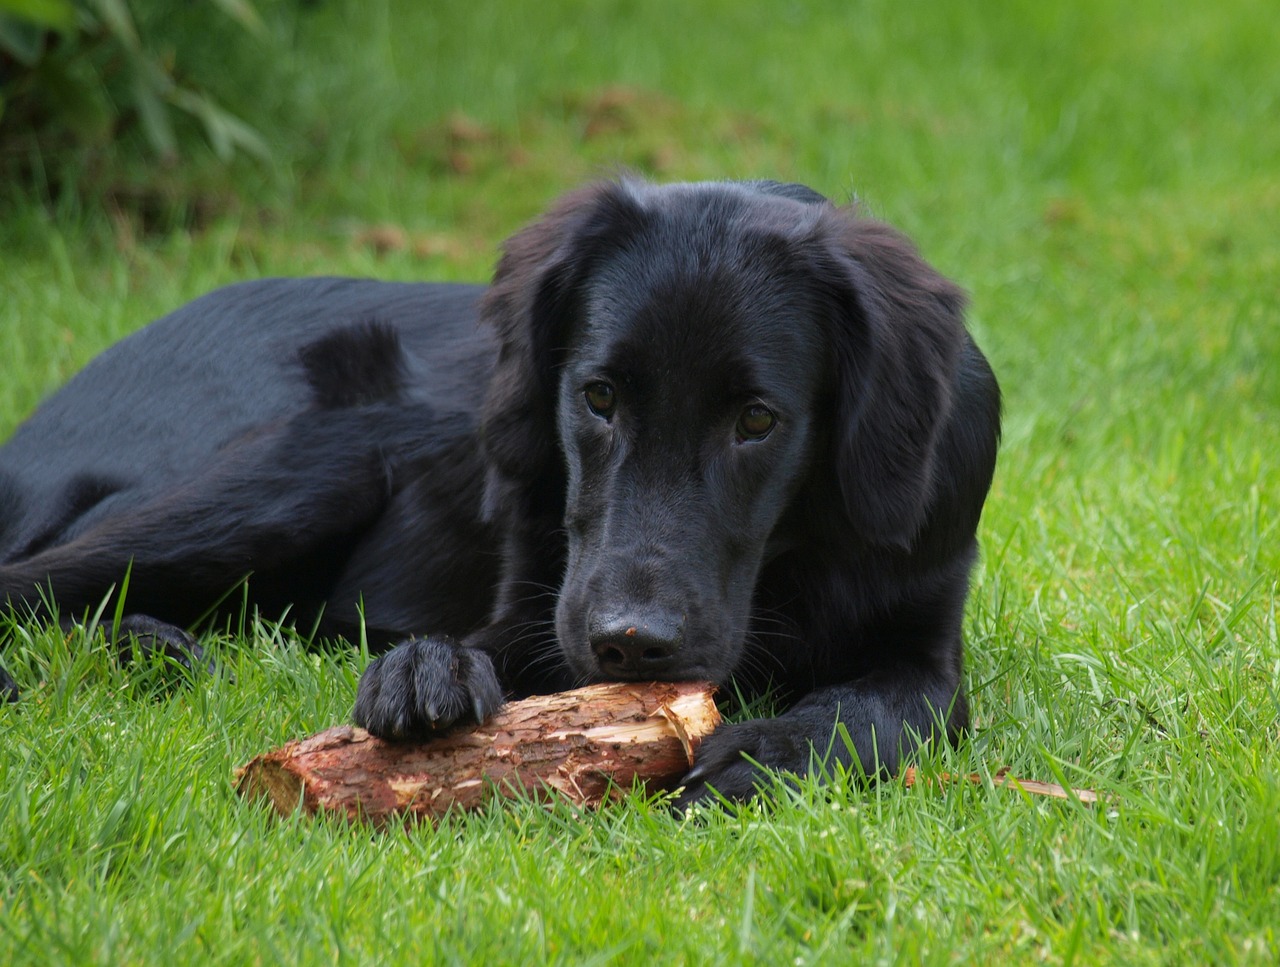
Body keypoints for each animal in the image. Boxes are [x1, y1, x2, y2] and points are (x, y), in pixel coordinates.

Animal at [0, 179, 998, 804]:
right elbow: (487, 643)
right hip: (304, 469)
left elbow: (873, 711)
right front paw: (426, 668)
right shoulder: (536, 603)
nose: (631, 645)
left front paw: (768, 749)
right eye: (598, 396)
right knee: (38, 582)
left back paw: (153, 649)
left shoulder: (924, 642)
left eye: (756, 419)